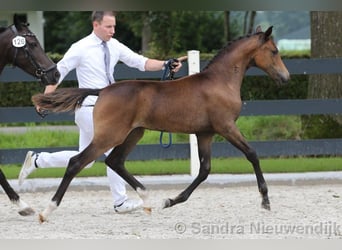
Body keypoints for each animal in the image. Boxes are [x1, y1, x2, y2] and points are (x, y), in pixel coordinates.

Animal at [32, 25, 290, 223]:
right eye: (274, 51)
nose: (285, 78)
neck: (220, 81)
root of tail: (102, 90)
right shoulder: (225, 127)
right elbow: (252, 154)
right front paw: (265, 200)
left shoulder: (204, 133)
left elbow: (204, 170)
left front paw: (171, 200)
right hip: (110, 135)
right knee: (77, 162)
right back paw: (47, 210)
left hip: (133, 134)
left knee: (115, 161)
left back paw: (146, 199)